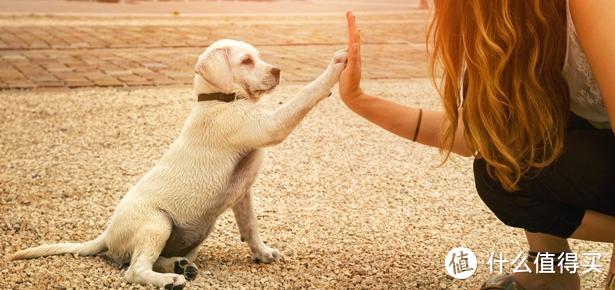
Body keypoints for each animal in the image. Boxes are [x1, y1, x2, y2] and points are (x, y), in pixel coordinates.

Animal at [9, 39, 348, 290]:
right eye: (246, 61)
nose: (278, 71)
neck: (220, 99)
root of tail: (107, 234)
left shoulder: (243, 193)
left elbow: (250, 226)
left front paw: (263, 253)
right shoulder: (269, 126)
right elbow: (305, 94)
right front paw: (336, 66)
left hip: (192, 234)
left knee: (145, 259)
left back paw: (180, 266)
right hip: (157, 222)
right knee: (133, 270)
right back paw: (170, 278)